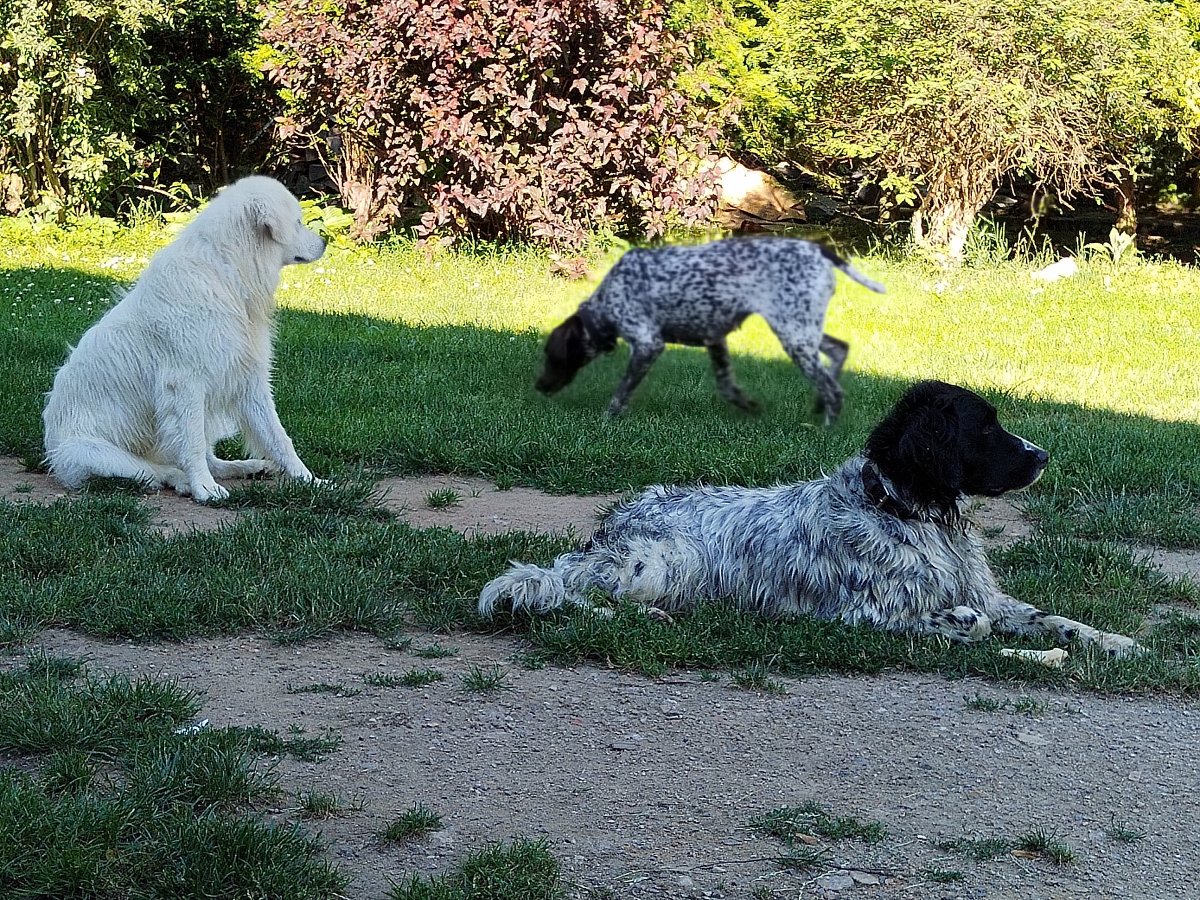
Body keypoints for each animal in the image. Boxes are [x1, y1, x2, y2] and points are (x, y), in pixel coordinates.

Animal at [43, 175, 326, 503]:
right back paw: (184, 481)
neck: (225, 271)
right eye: (298, 223)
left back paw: (247, 467)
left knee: (208, 459)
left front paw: (310, 481)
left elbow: (279, 437)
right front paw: (204, 488)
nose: (325, 242)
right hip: (92, 452)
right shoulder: (185, 383)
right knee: (155, 470)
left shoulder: (249, 379)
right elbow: (192, 445)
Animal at [480, 381, 1139, 656]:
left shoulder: (991, 596)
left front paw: (1111, 639)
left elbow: (1054, 620)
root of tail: (614, 519)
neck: (903, 509)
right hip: (664, 559)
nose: (1043, 456)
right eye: (986, 428)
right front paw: (959, 624)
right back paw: (639, 614)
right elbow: (966, 623)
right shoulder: (864, 614)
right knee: (569, 588)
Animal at [535, 237, 884, 419]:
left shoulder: (648, 345)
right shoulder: (715, 341)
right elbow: (728, 387)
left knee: (833, 388)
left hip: (794, 336)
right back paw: (818, 406)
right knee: (838, 353)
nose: (538, 386)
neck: (609, 298)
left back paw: (824, 425)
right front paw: (749, 407)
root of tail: (817, 250)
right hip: (801, 330)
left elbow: (621, 393)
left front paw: (608, 418)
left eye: (552, 356)